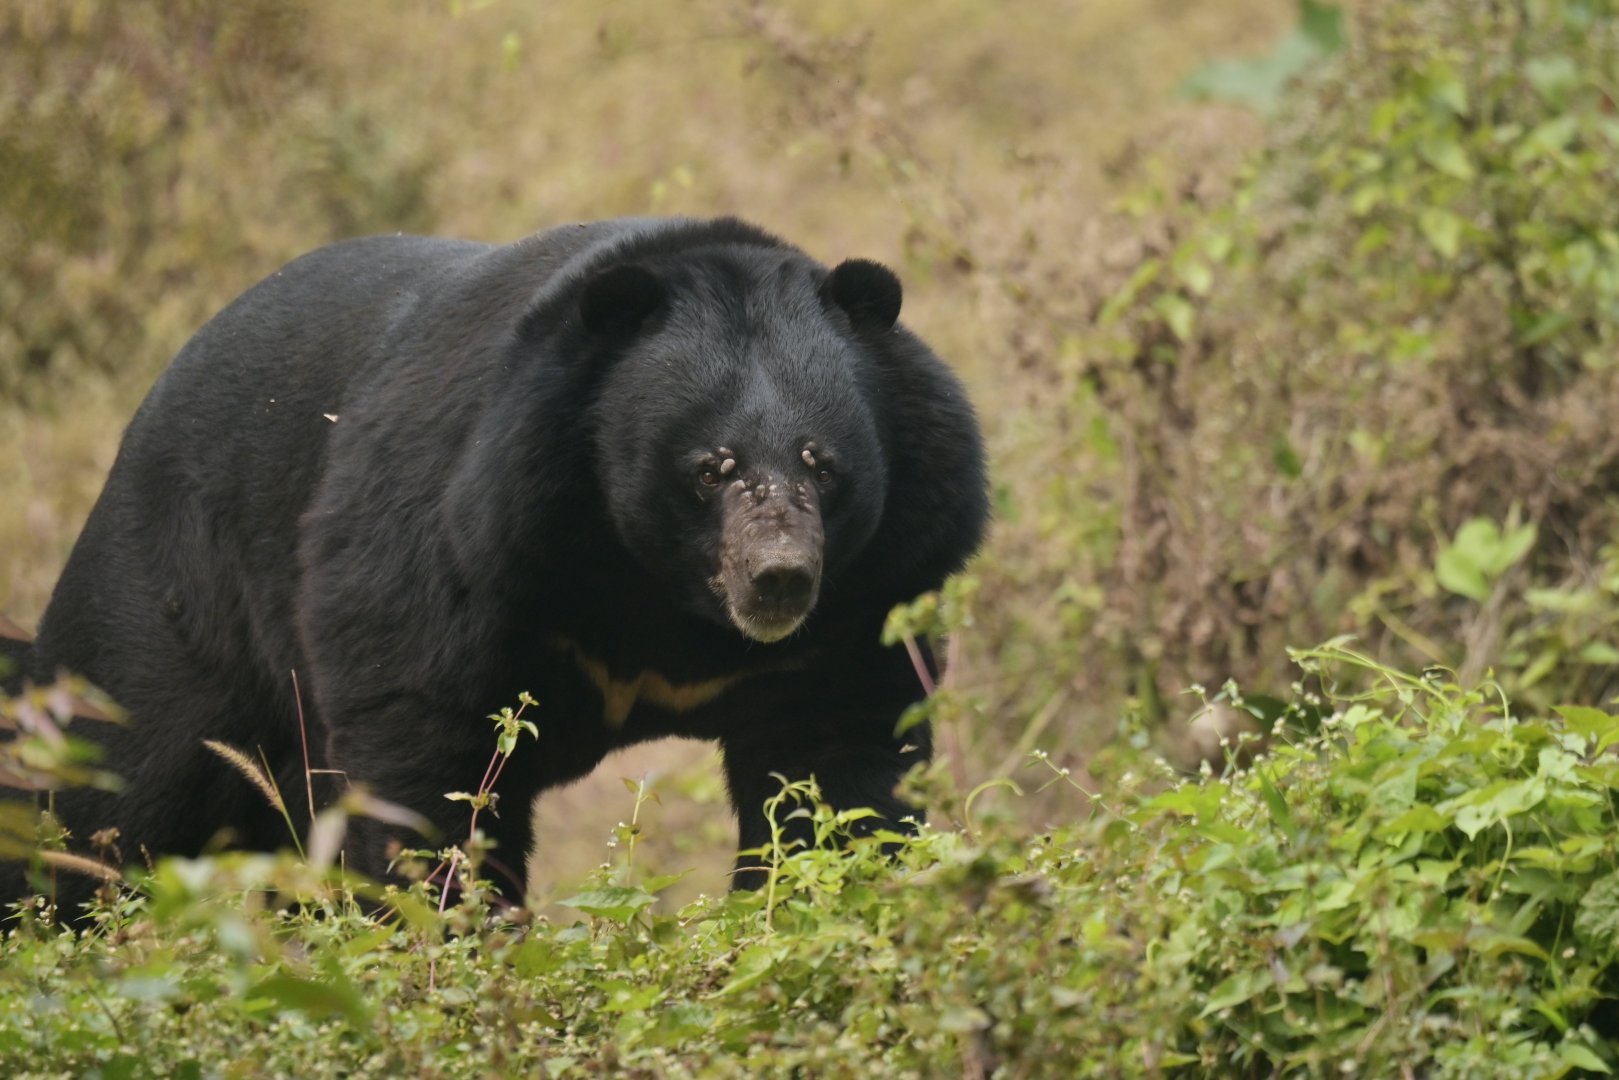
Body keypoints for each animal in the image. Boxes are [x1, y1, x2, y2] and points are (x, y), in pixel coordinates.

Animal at [1, 216, 988, 912]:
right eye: (712, 468)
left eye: (823, 465)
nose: (778, 578)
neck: (662, 597)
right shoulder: (461, 546)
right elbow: (427, 762)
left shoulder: (874, 591)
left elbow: (832, 770)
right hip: (180, 596)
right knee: (108, 789)